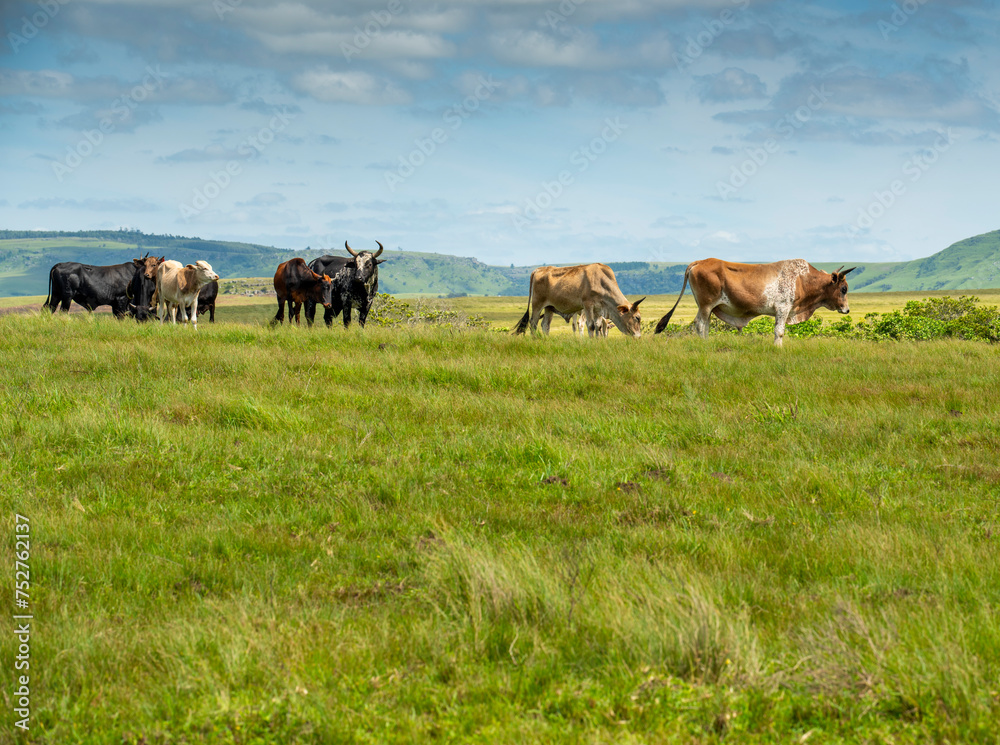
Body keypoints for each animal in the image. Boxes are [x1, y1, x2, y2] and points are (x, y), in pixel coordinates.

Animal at [512, 264, 644, 338]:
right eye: (637, 318)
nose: (638, 336)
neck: (601, 281)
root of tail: (538, 270)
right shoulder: (588, 305)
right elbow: (590, 326)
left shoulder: (598, 310)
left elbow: (598, 327)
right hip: (537, 305)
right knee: (533, 324)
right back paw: (535, 340)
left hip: (549, 307)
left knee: (545, 325)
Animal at [652, 258, 856, 346]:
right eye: (844, 289)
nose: (846, 310)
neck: (802, 278)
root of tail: (699, 262)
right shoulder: (783, 308)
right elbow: (779, 332)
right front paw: (778, 348)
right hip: (705, 305)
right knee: (700, 324)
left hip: (708, 307)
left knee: (705, 324)